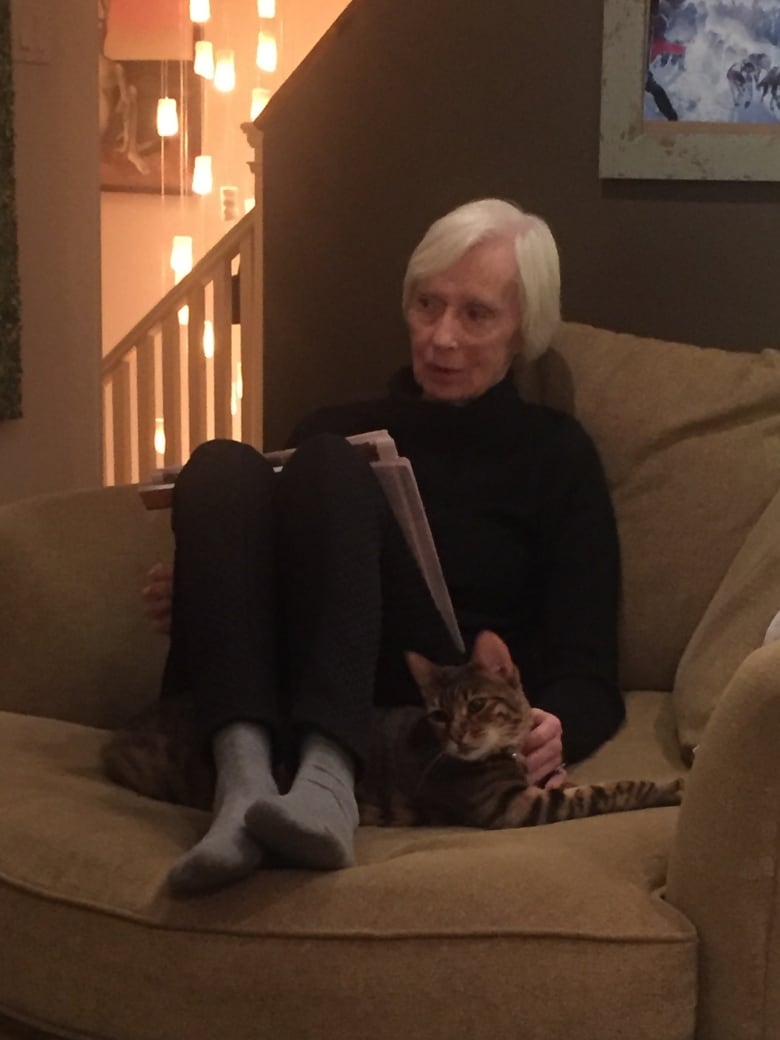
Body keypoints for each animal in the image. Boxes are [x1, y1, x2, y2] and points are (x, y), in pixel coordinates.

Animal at [102, 624, 682, 827]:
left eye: (476, 705)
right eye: (440, 714)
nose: (458, 737)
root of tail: (121, 732)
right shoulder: (512, 808)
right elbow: (613, 789)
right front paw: (669, 787)